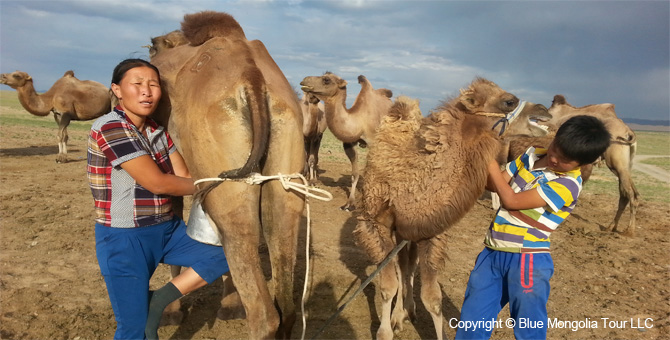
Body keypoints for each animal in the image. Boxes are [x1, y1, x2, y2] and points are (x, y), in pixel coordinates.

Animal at [150, 10, 308, 338]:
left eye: (152, 46)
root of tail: (253, 77)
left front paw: (171, 313)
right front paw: (229, 306)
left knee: (264, 311)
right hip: (284, 155)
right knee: (285, 301)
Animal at [300, 71, 394, 210]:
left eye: (326, 80)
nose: (304, 80)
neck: (359, 121)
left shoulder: (374, 143)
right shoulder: (350, 144)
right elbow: (354, 174)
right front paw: (349, 204)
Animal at [354, 77, 552, 340]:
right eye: (509, 101)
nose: (544, 110)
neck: (408, 178)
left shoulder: (427, 231)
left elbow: (432, 298)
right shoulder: (376, 224)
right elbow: (388, 286)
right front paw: (385, 331)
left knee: (407, 267)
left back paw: (406, 312)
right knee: (400, 268)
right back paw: (398, 316)